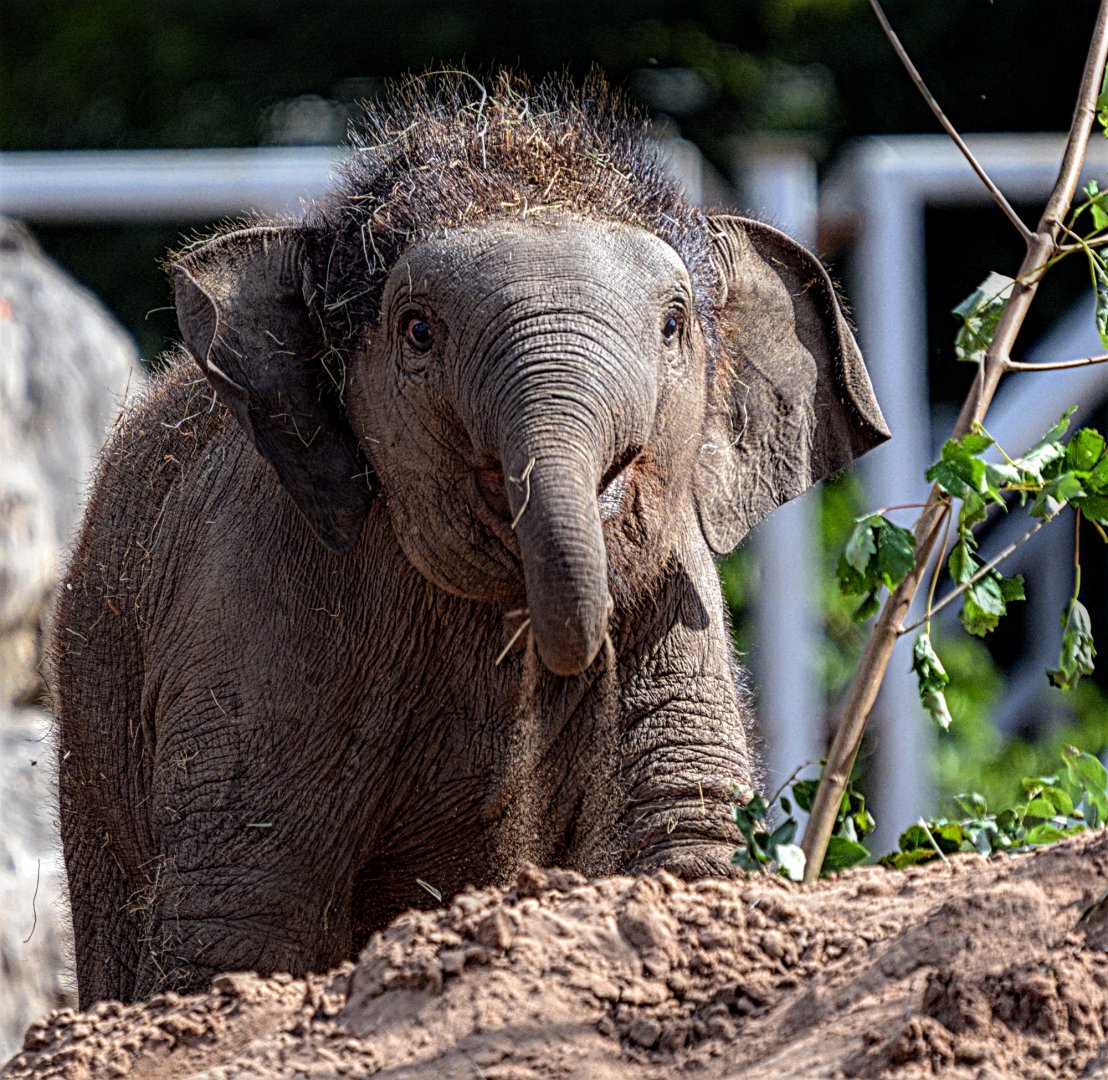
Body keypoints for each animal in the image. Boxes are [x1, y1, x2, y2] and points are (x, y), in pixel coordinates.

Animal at [51, 73, 888, 1007]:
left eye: (673, 326)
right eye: (418, 329)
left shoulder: (676, 606)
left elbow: (681, 839)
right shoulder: (251, 620)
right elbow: (241, 917)